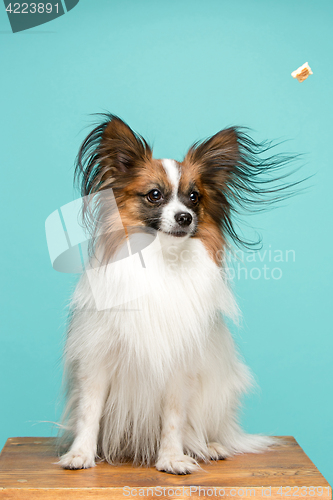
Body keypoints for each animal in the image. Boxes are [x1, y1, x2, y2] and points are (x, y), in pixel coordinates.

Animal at [58, 115, 292, 474]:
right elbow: (89, 412)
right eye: (154, 195)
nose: (185, 217)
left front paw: (172, 458)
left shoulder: (179, 367)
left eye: (194, 197)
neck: (162, 259)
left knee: (206, 429)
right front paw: (80, 454)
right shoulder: (97, 359)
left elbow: (174, 418)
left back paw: (209, 447)